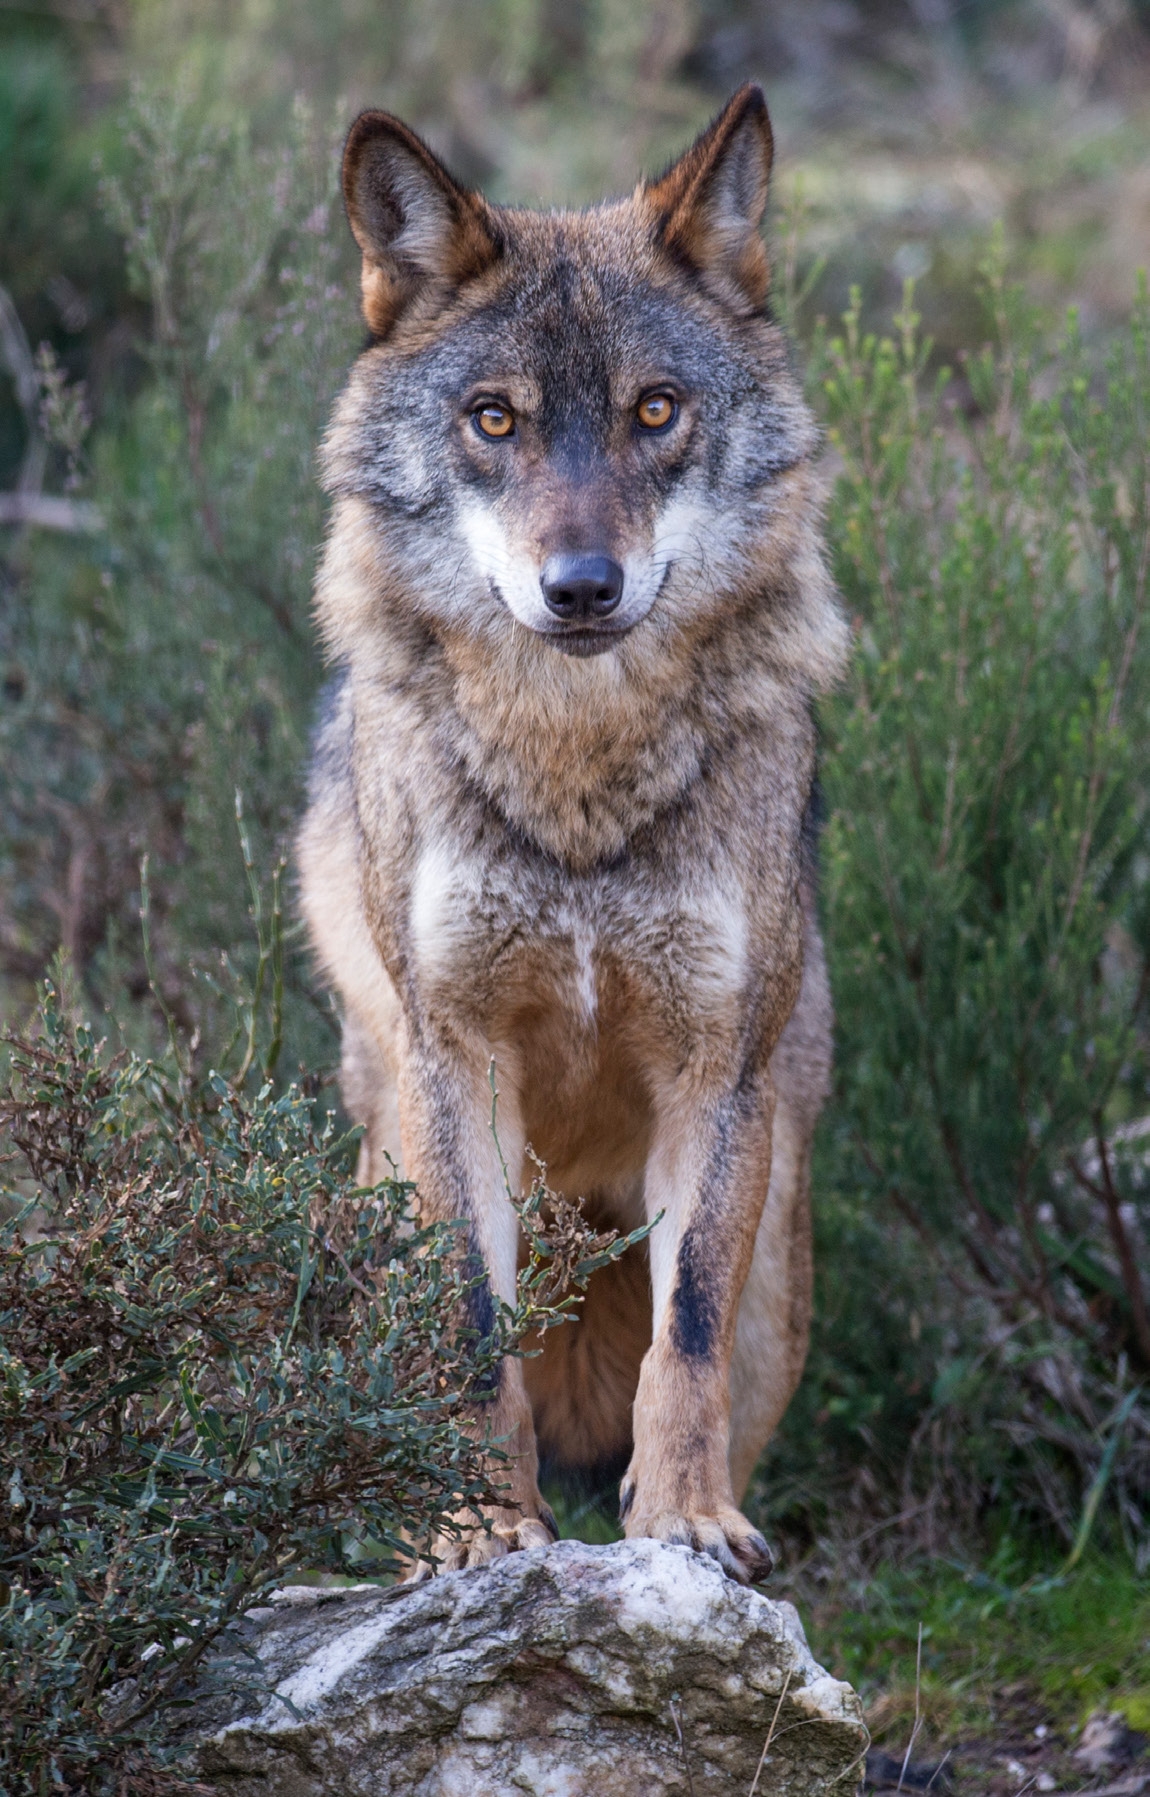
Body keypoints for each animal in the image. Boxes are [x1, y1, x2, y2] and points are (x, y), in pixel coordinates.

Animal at [298, 83, 849, 1585]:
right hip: (368, 1186)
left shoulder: (718, 1073)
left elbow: (686, 1332)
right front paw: (483, 1532)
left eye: (655, 409)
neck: (578, 775)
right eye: (494, 419)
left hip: (783, 1223)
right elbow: (471, 1333)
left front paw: (687, 1523)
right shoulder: (453, 1063)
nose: (582, 587)